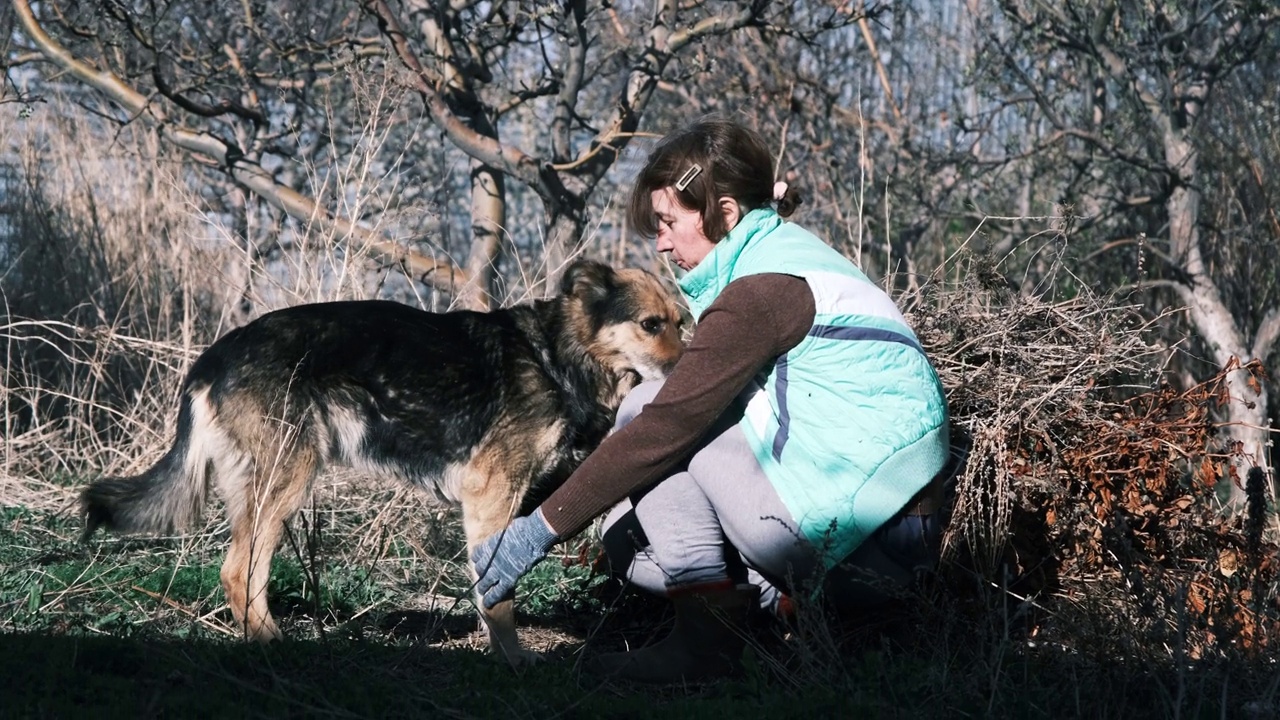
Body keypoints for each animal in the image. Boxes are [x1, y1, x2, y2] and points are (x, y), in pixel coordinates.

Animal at [78, 260, 686, 666]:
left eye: (680, 323)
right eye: (650, 325)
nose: (691, 365)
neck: (559, 357)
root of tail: (213, 357)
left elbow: (494, 585)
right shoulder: (491, 494)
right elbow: (501, 596)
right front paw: (512, 660)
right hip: (287, 478)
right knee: (239, 569)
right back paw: (275, 646)